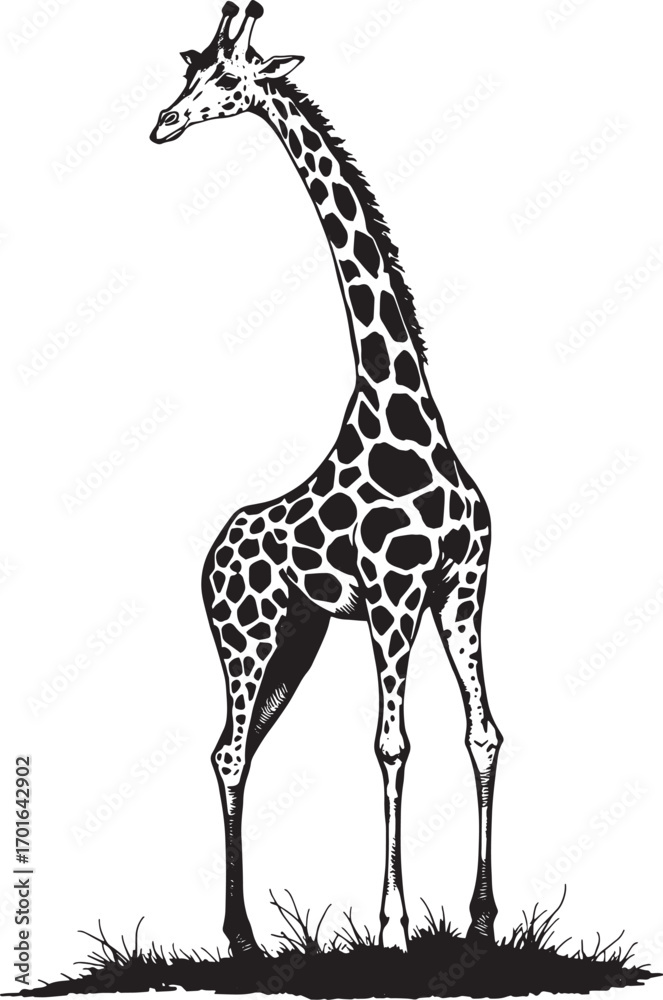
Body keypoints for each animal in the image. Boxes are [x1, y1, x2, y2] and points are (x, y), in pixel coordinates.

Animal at [151, 1, 503, 958]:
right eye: (190, 69)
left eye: (224, 78)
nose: (162, 122)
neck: (401, 412)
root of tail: (211, 555)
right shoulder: (390, 595)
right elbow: (392, 745)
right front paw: (392, 929)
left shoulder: (460, 587)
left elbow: (481, 734)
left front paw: (480, 920)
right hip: (245, 638)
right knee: (229, 750)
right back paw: (240, 936)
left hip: (296, 639)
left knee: (234, 748)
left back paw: (245, 935)